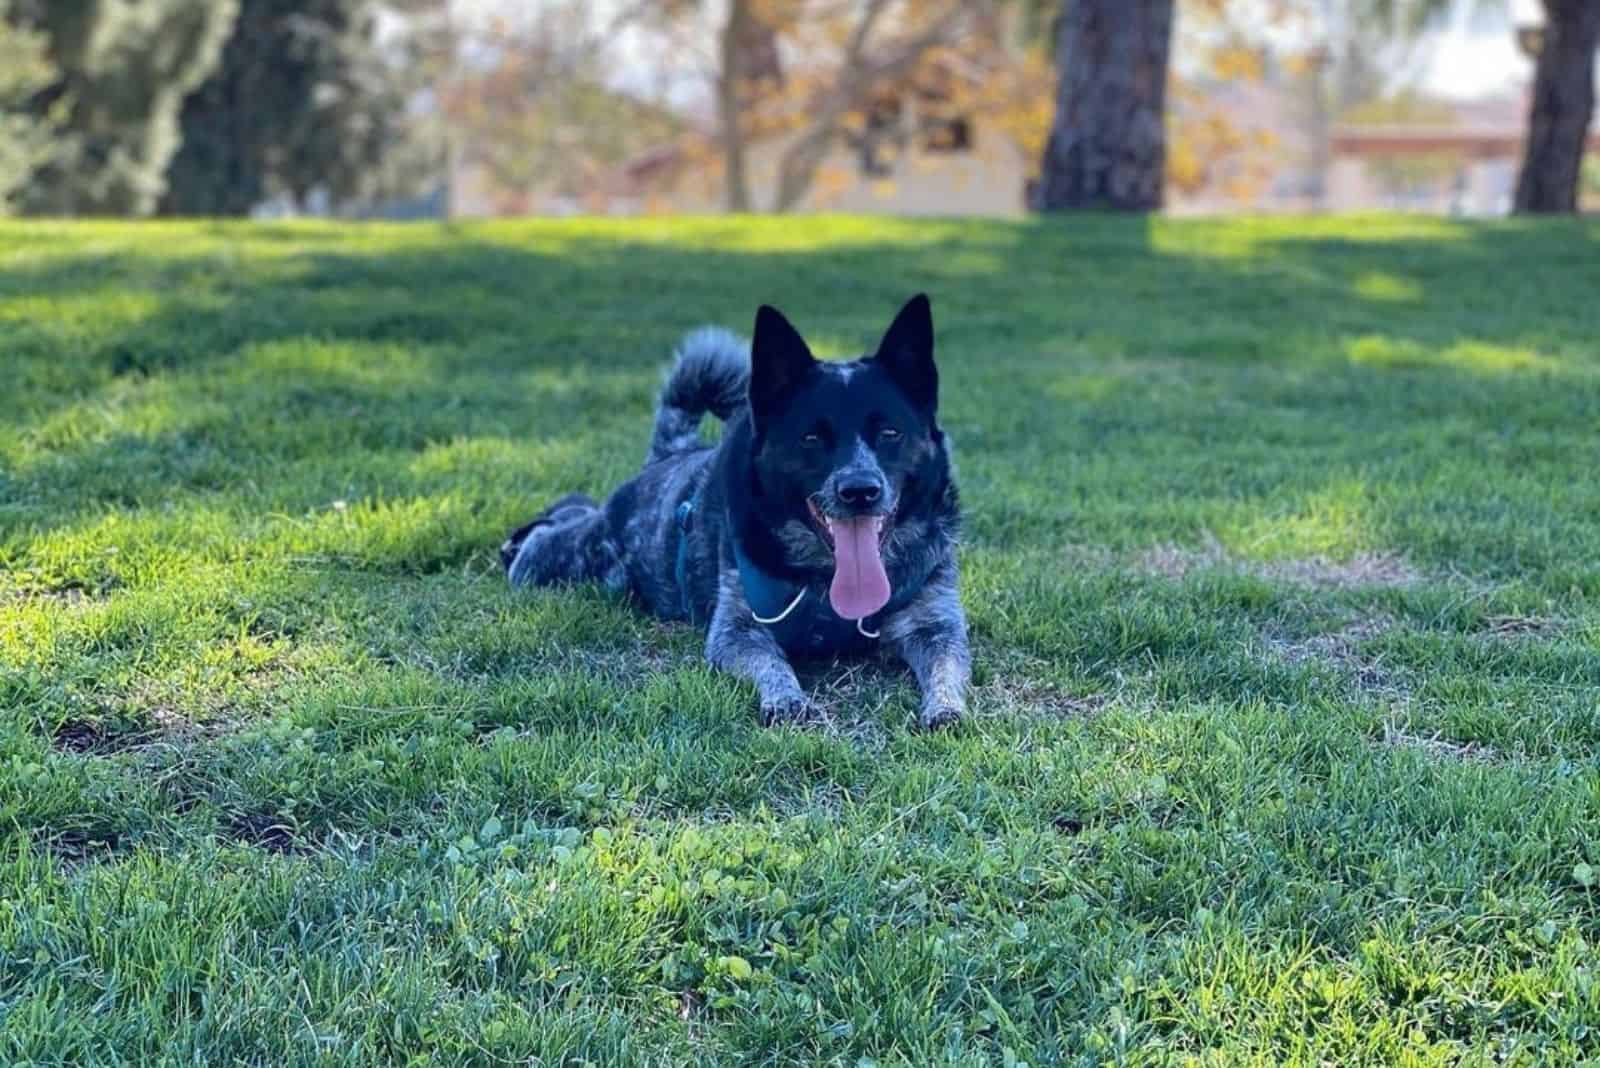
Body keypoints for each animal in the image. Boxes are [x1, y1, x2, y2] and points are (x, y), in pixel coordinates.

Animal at [499, 295, 966, 729]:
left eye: (890, 432)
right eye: (811, 437)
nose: (860, 490)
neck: (829, 584)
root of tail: (669, 455)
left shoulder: (937, 624)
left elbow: (949, 666)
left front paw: (946, 708)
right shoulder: (737, 630)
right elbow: (771, 663)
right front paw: (785, 699)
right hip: (572, 561)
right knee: (552, 533)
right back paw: (515, 544)